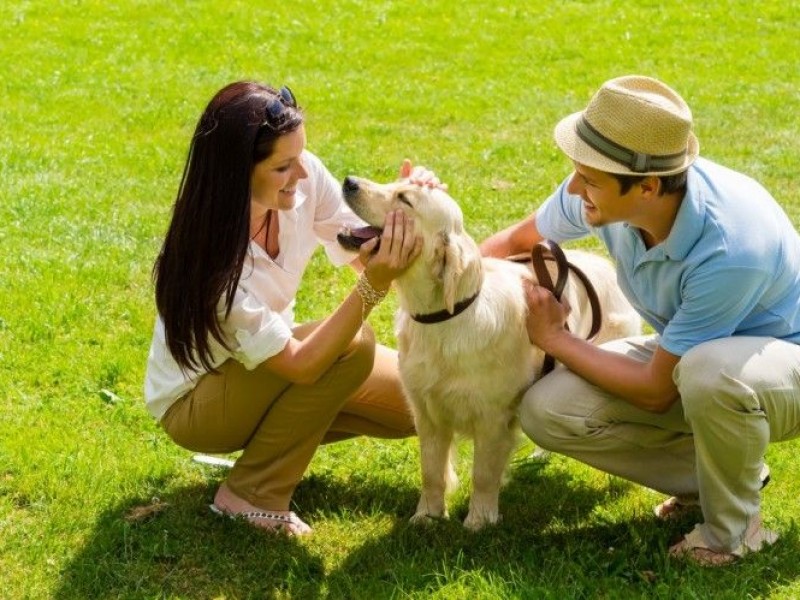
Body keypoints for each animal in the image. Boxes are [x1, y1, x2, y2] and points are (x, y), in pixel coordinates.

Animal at [338, 175, 644, 528]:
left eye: (404, 198)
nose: (349, 181)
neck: (445, 318)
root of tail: (603, 263)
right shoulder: (426, 413)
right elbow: (431, 471)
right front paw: (427, 515)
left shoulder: (492, 418)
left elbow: (483, 474)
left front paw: (479, 520)